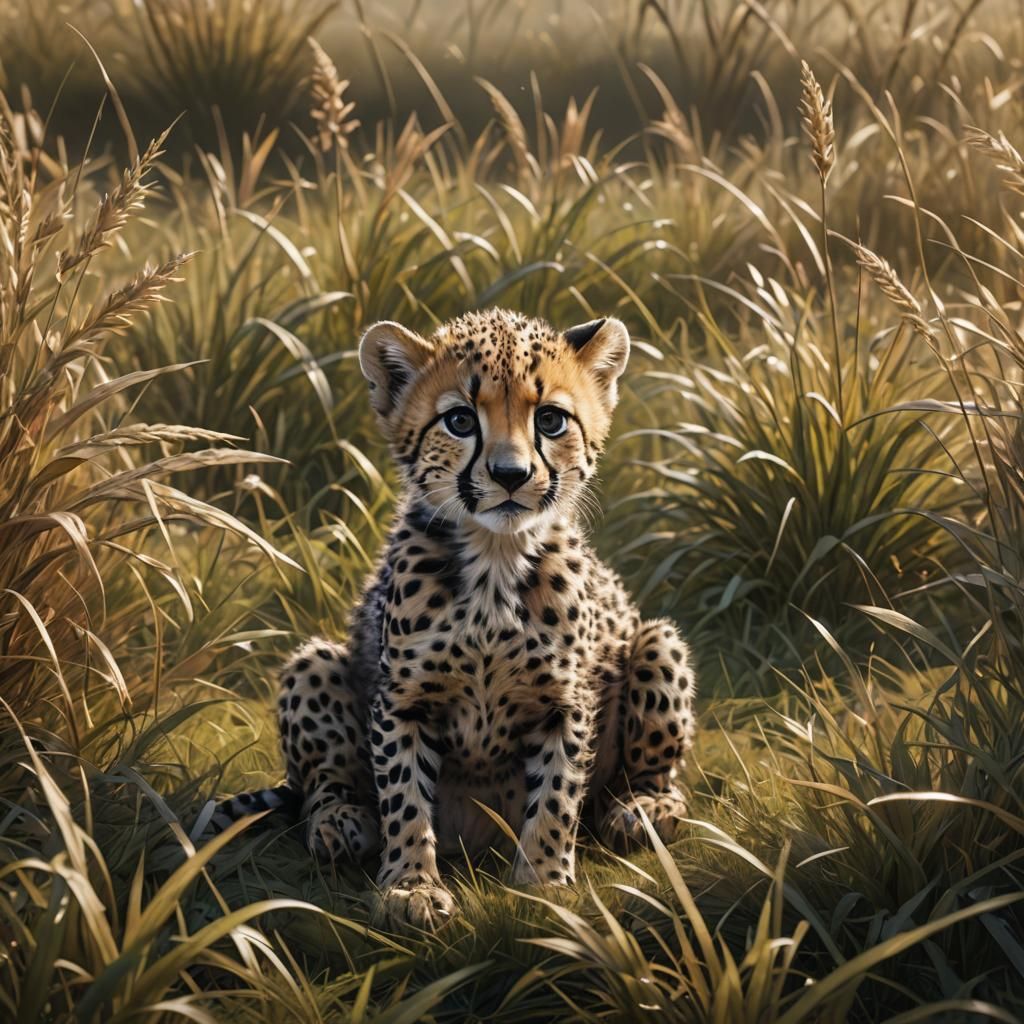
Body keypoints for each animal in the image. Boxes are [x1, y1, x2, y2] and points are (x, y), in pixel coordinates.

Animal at [213, 308, 697, 932]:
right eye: (460, 420)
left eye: (550, 419)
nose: (511, 473)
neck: (495, 557)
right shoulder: (403, 701)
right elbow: (404, 799)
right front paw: (410, 887)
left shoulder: (566, 704)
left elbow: (557, 798)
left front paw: (544, 889)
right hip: (312, 663)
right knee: (323, 780)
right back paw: (341, 821)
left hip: (658, 642)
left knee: (648, 759)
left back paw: (645, 806)